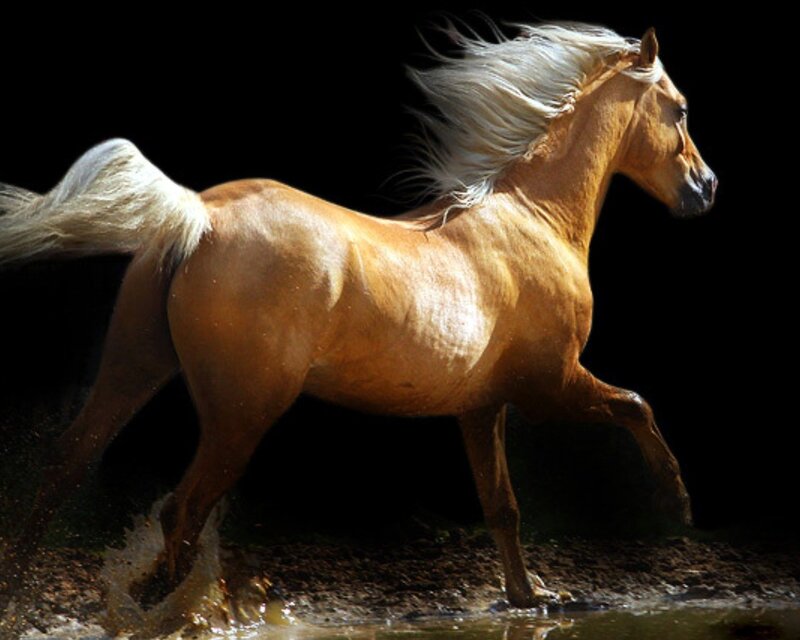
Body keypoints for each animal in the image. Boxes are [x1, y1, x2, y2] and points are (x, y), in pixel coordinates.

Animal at [0, 22, 716, 615]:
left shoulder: (481, 407)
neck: (532, 217)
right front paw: (676, 504)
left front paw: (530, 596)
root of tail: (198, 216)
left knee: (64, 470)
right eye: (680, 108)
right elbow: (636, 403)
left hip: (135, 367)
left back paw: (20, 595)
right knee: (183, 509)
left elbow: (502, 506)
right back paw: (177, 611)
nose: (705, 188)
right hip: (241, 412)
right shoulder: (550, 383)